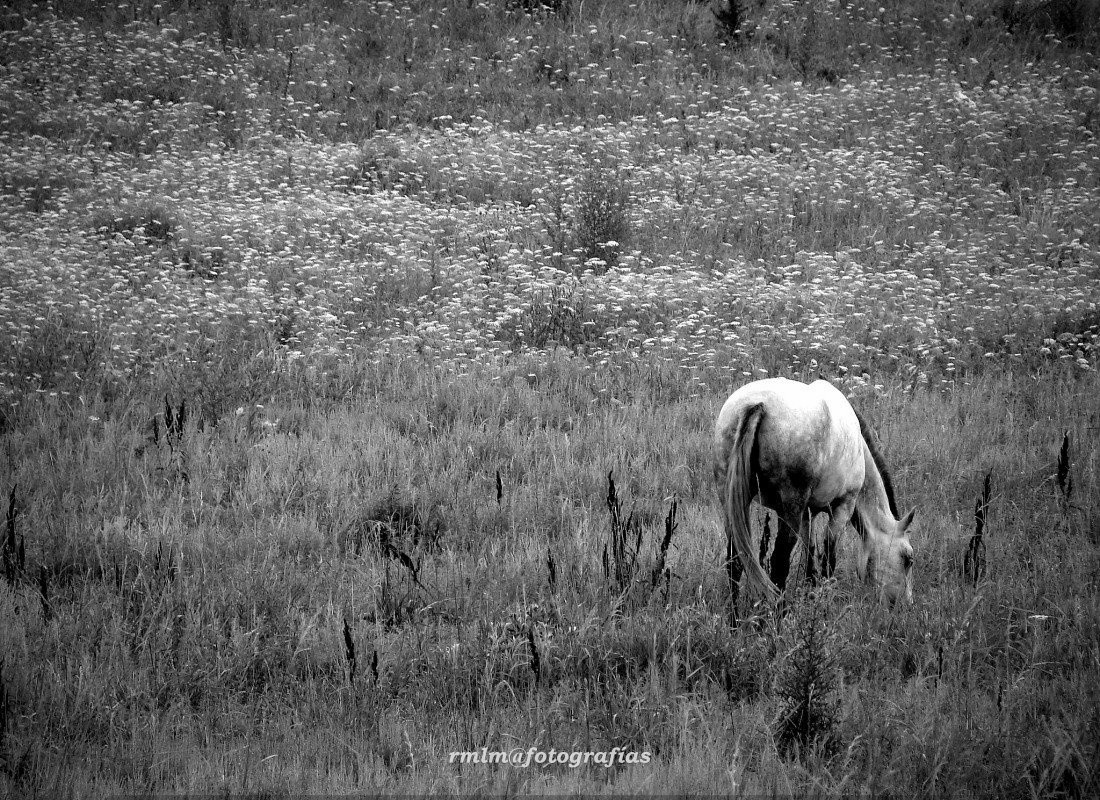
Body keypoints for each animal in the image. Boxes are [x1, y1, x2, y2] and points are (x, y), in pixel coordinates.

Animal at [708, 378, 915, 611]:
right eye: (908, 559)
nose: (905, 605)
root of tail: (757, 404)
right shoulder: (842, 508)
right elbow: (828, 557)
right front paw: (824, 600)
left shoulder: (808, 514)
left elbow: (809, 552)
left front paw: (811, 592)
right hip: (790, 509)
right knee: (779, 562)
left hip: (731, 500)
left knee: (735, 560)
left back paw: (734, 617)